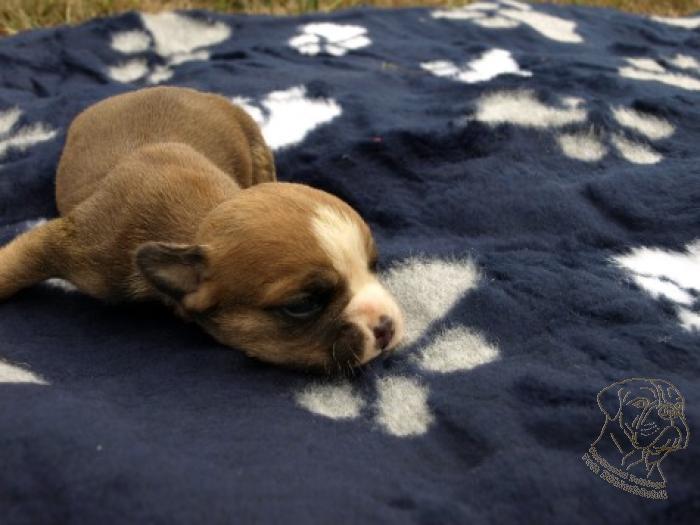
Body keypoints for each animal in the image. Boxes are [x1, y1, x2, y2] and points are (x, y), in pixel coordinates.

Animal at [0, 87, 404, 372]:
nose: (385, 325)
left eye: (373, 266)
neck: (201, 219)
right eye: (302, 305)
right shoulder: (80, 241)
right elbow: (17, 261)